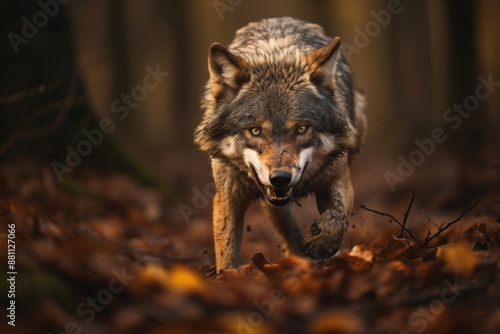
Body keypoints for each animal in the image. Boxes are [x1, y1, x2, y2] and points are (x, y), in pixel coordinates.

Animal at [195, 17, 368, 272]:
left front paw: (323, 244)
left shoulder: (337, 178)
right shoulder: (227, 199)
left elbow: (338, 217)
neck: (275, 56)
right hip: (272, 207)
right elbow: (226, 257)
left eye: (302, 129)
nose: (280, 178)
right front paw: (227, 277)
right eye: (255, 131)